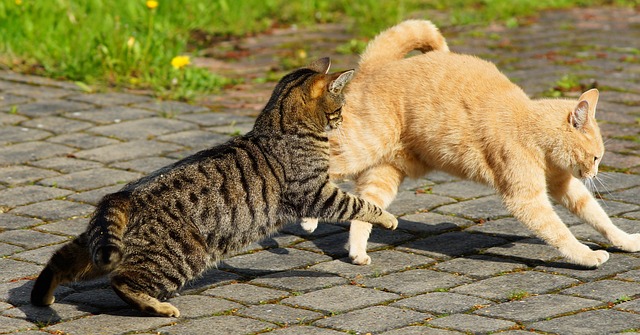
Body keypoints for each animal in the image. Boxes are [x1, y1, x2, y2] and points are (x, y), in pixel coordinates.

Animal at [33, 57, 400, 318]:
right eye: (339, 108)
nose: (343, 120)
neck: (279, 124)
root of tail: (123, 195)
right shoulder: (315, 192)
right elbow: (359, 204)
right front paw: (387, 219)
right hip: (181, 255)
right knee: (120, 280)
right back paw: (157, 307)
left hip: (95, 249)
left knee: (60, 261)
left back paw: (42, 297)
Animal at [302, 20, 640, 268]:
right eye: (596, 158)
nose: (595, 174)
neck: (530, 125)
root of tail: (376, 64)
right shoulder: (526, 198)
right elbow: (560, 232)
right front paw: (586, 256)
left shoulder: (564, 185)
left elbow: (598, 216)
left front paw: (625, 240)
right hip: (360, 148)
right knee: (319, 169)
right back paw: (308, 218)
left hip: (385, 172)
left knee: (364, 204)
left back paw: (357, 253)